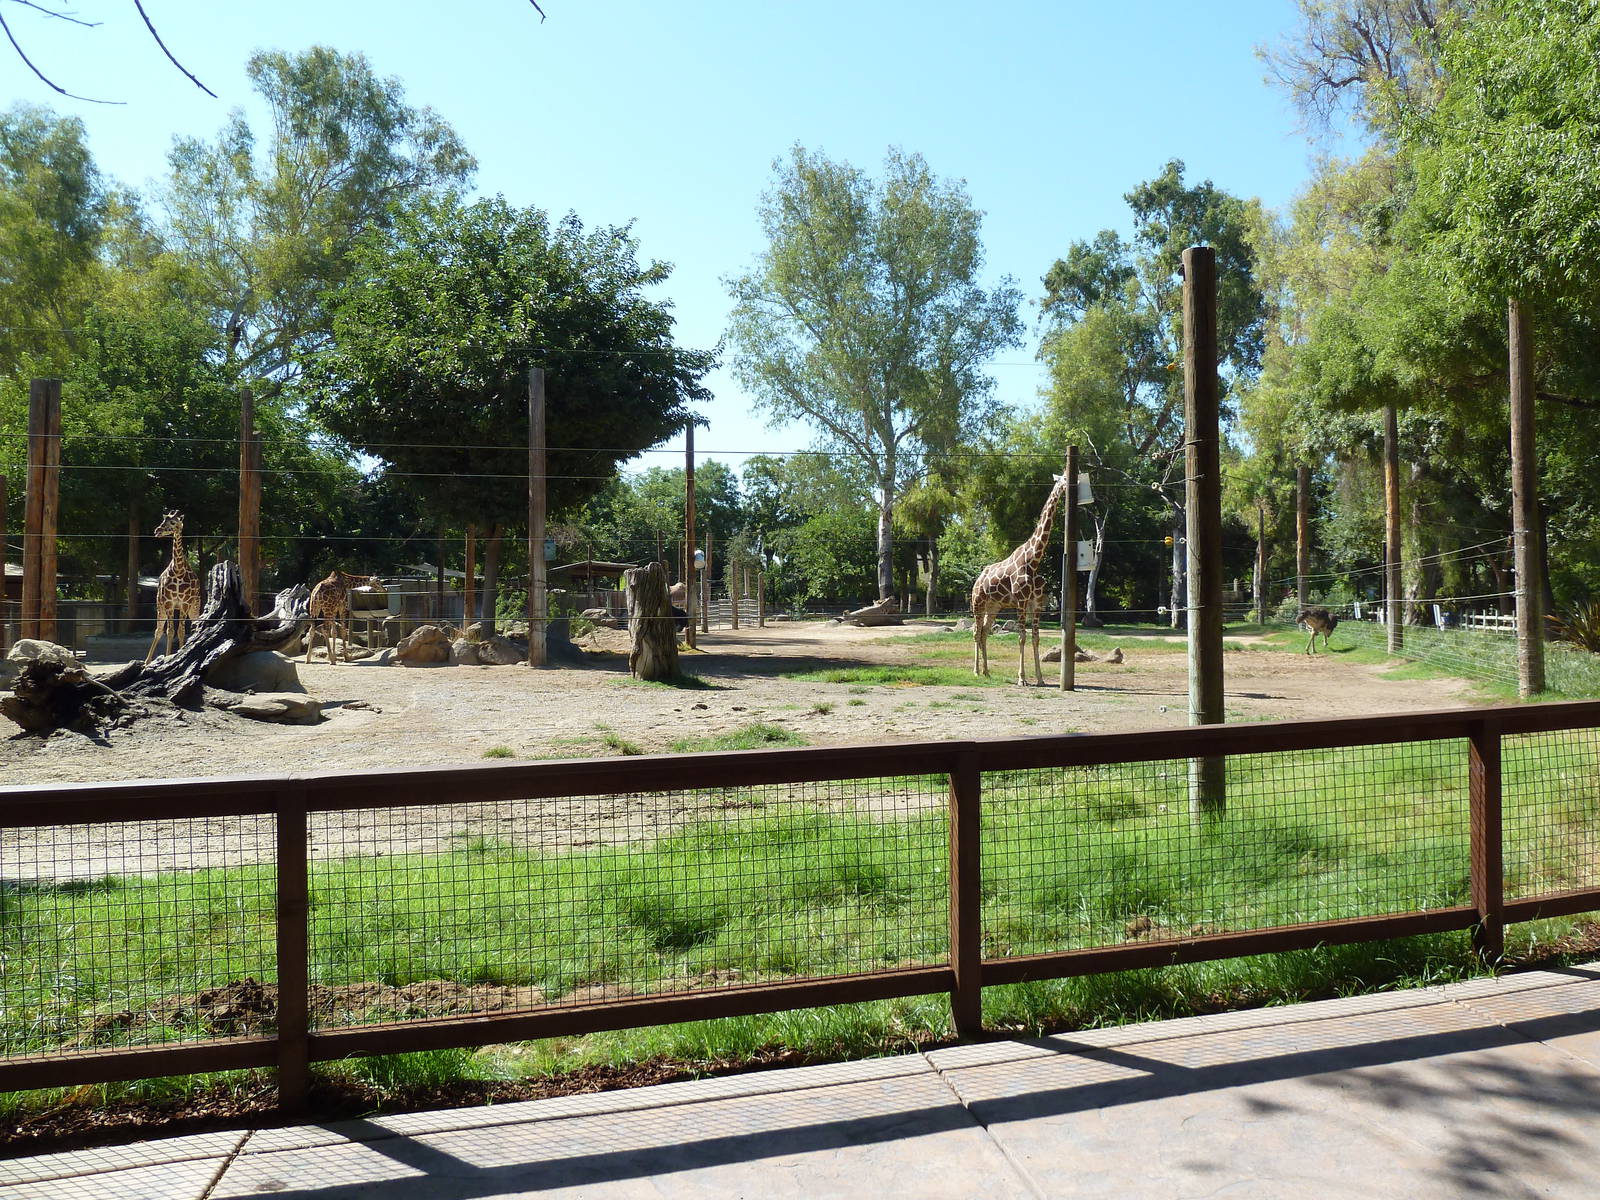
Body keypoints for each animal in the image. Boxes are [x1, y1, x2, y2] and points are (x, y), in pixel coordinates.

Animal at [145, 510, 202, 663]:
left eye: (173, 522)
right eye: (163, 519)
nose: (157, 531)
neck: (178, 570)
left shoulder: (185, 603)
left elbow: (181, 631)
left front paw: (181, 653)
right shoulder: (169, 603)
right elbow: (170, 632)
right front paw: (168, 657)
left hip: (195, 606)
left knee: (196, 625)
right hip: (160, 606)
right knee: (158, 631)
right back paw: (147, 662)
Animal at [971, 473, 1070, 685]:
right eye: (1063, 479)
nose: (1072, 484)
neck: (1033, 560)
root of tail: (977, 581)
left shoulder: (1037, 602)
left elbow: (1035, 638)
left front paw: (1040, 679)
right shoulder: (1021, 602)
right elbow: (1022, 637)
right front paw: (1022, 678)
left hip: (994, 606)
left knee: (984, 632)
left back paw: (987, 672)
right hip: (978, 603)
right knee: (976, 632)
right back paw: (975, 671)